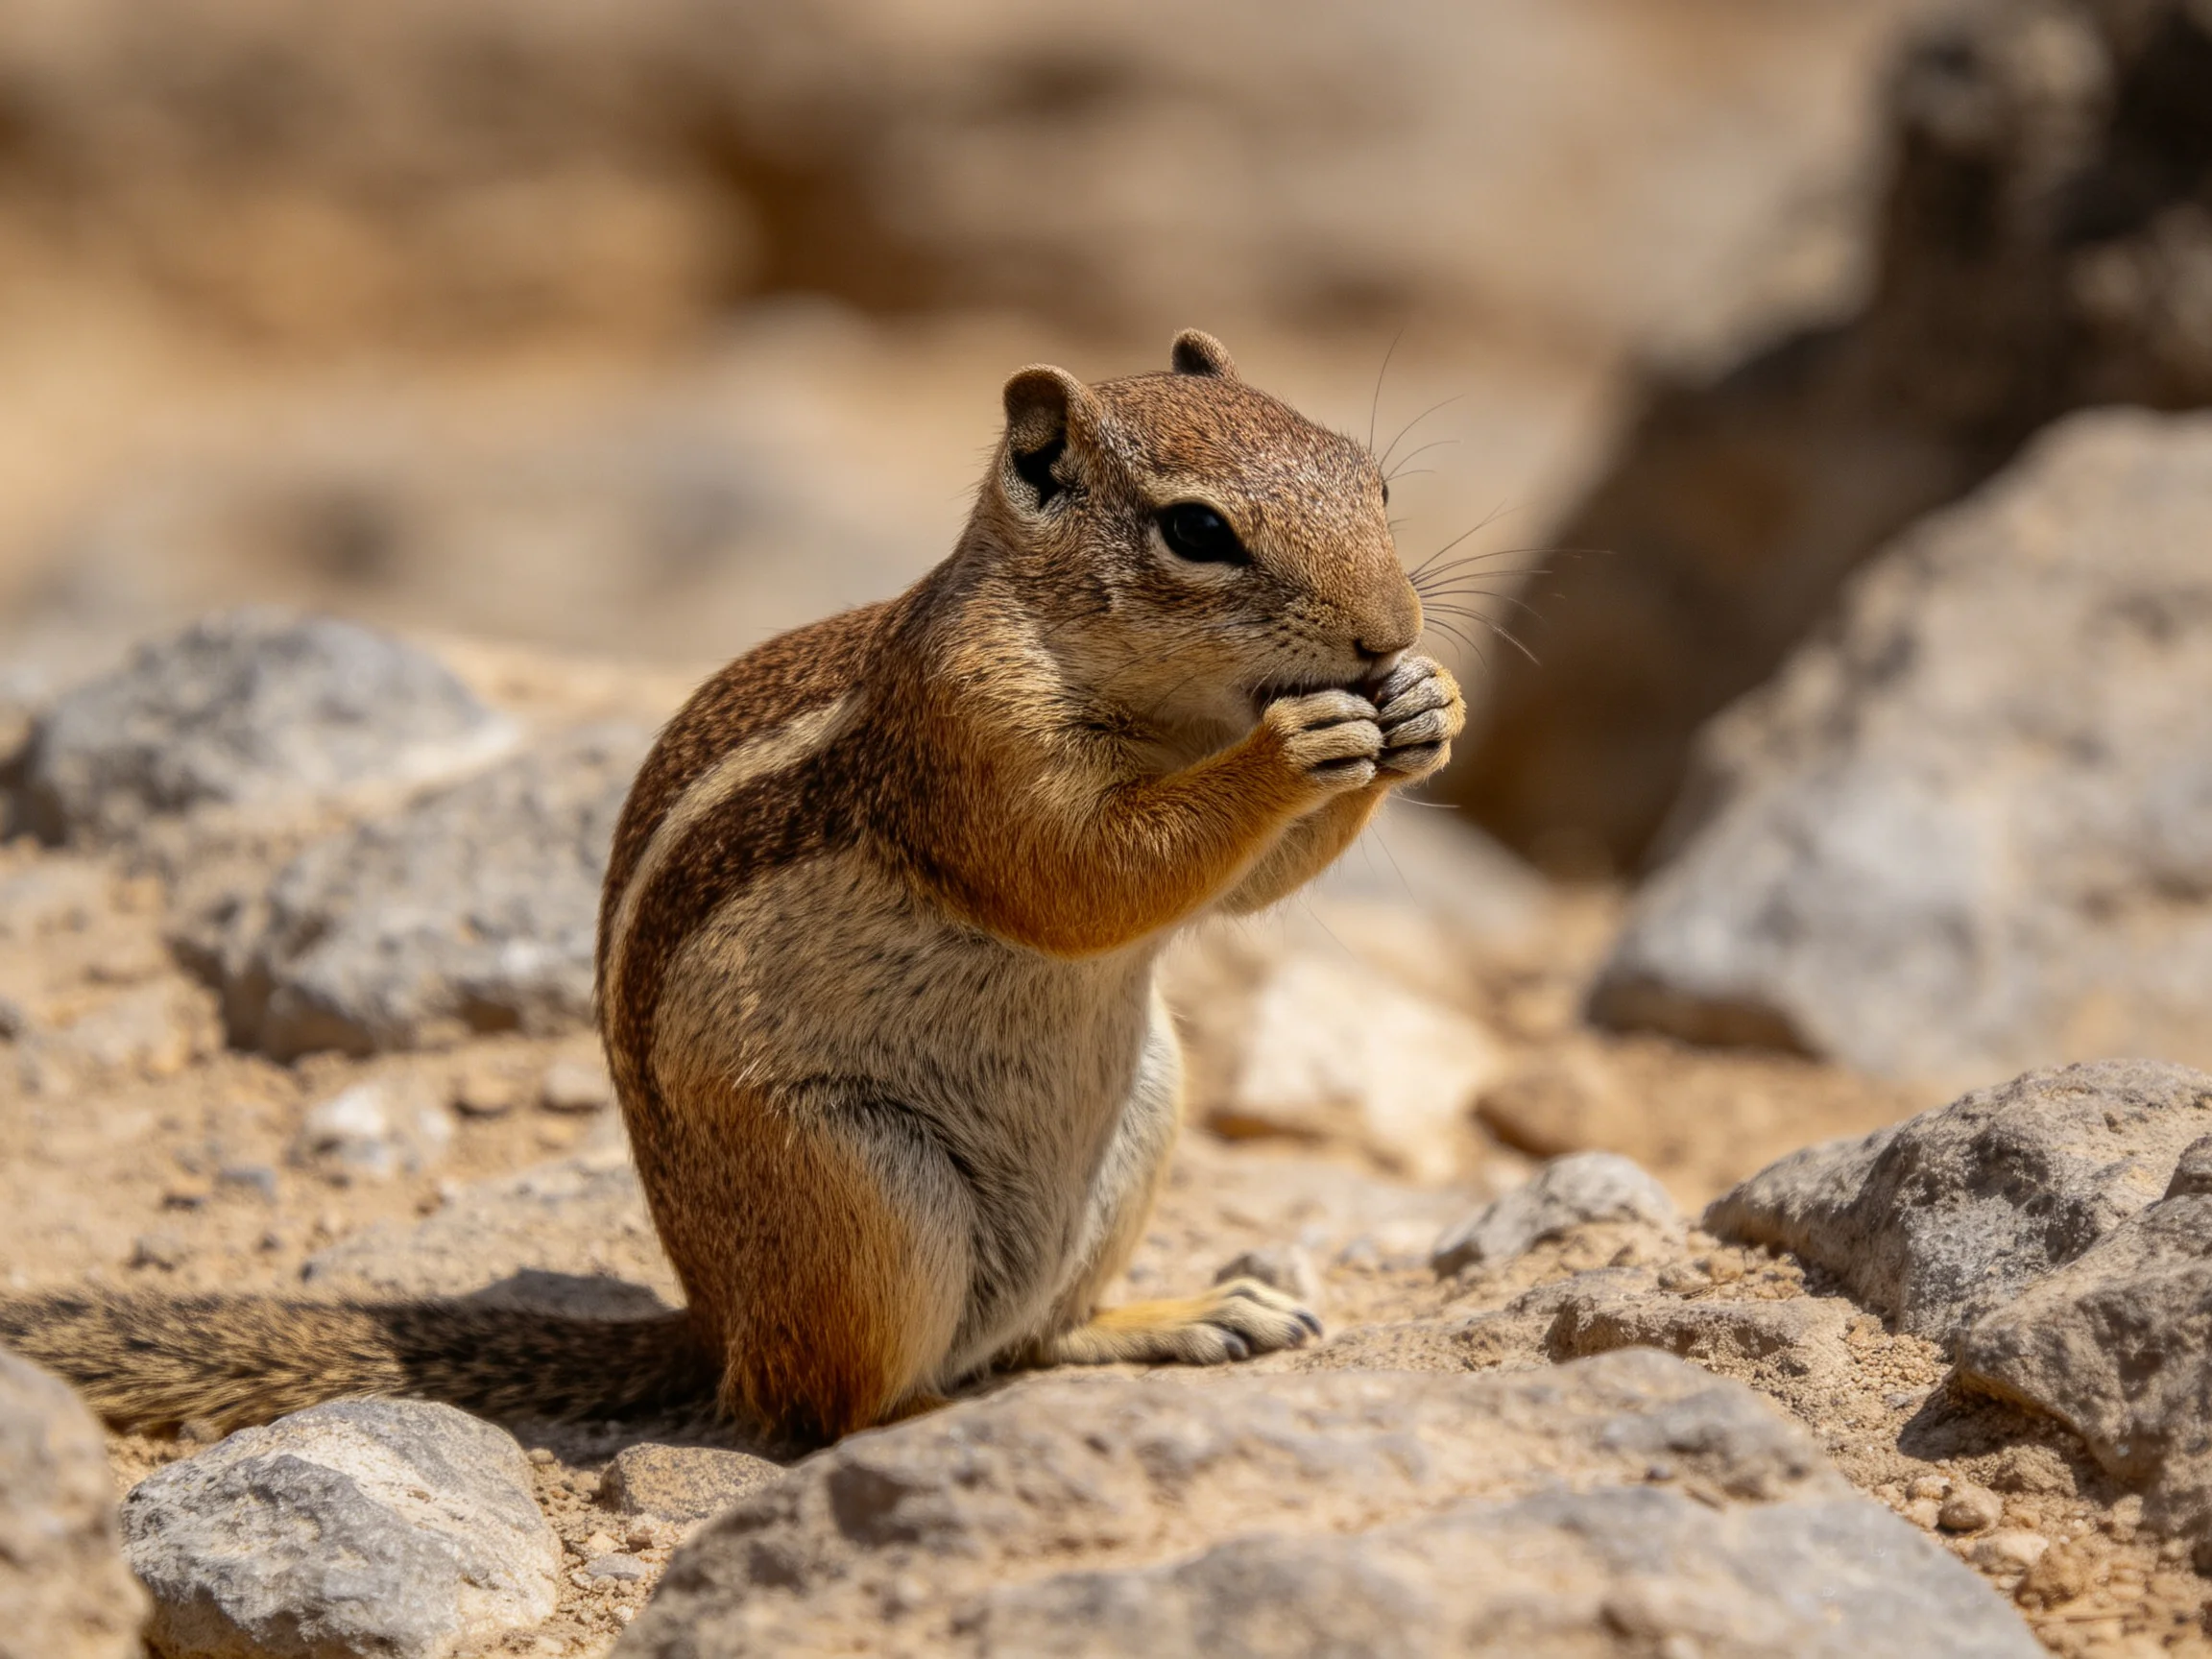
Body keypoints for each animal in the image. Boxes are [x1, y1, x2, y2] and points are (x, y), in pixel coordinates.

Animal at [0, 330, 1464, 1446]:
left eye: (1378, 485)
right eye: (1198, 531)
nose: (1389, 631)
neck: (1170, 713)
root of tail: (712, 1322)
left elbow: (1232, 897)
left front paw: (1428, 707)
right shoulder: (966, 738)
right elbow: (1086, 878)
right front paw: (1296, 748)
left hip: (1141, 1112)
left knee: (1016, 1343)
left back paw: (1183, 1316)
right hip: (863, 1196)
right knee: (839, 1402)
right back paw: (937, 1410)